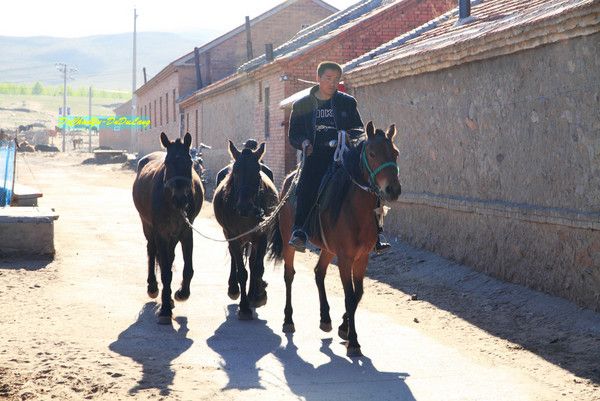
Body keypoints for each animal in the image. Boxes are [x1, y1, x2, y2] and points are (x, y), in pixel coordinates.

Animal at [132, 133, 204, 324]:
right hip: (148, 227)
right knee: (151, 251)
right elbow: (165, 271)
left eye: (190, 162)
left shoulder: (186, 232)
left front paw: (181, 294)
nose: (180, 199)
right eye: (168, 163)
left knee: (169, 258)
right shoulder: (161, 233)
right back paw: (153, 287)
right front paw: (164, 309)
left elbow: (188, 269)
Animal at [214, 140, 280, 318]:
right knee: (234, 258)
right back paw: (233, 288)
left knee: (252, 262)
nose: (244, 207)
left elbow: (257, 268)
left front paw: (258, 295)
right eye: (235, 172)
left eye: (257, 173)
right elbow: (242, 272)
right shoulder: (234, 236)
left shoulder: (261, 235)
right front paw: (244, 307)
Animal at [272, 120, 404, 354]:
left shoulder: (361, 258)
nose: (393, 189)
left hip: (328, 248)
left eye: (395, 153)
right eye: (371, 153)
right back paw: (288, 320)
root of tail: (289, 180)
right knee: (289, 275)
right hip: (290, 242)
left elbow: (358, 294)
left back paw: (325, 318)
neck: (355, 208)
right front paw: (354, 341)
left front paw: (344, 327)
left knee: (319, 272)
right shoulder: (345, 258)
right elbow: (350, 296)